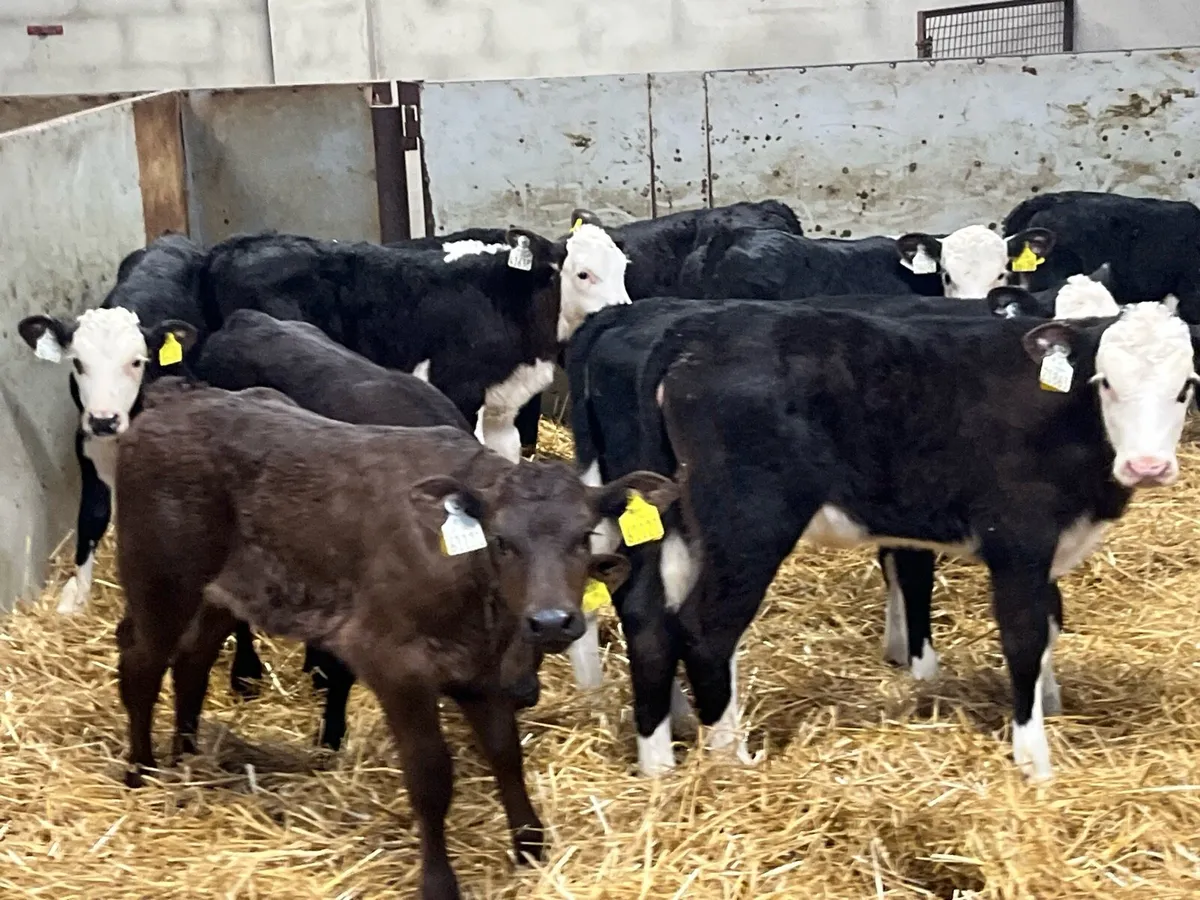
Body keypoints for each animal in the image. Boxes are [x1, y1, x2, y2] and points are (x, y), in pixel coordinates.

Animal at [112, 379, 675, 900]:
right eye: (501, 541)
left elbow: (505, 754)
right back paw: (141, 769)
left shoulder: (481, 672)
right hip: (159, 578)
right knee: (141, 663)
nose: (552, 621)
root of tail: (178, 396)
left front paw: (530, 847)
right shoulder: (394, 664)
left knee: (192, 660)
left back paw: (188, 757)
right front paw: (439, 882)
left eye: (583, 536)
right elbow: (430, 776)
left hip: (225, 592)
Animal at [198, 225, 630, 464]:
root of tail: (234, 245)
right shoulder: (458, 391)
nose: (623, 311)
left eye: (623, 268)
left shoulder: (502, 405)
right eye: (583, 274)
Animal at [614, 299, 1195, 783]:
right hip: (749, 523)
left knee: (649, 617)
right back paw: (730, 759)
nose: (1147, 466)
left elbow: (1052, 622)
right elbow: (1026, 637)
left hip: (678, 522)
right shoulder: (1019, 542)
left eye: (1187, 385)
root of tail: (697, 331)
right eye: (1105, 382)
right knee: (708, 629)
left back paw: (658, 761)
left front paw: (1051, 703)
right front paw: (1035, 760)